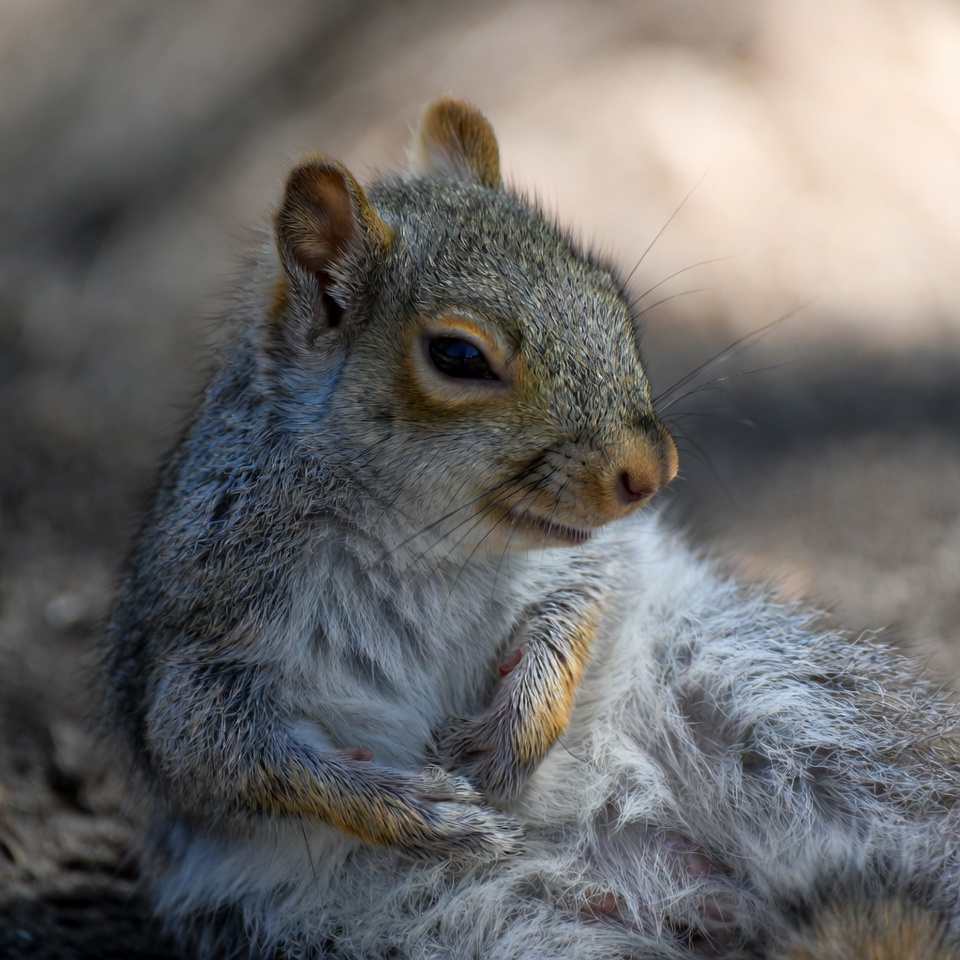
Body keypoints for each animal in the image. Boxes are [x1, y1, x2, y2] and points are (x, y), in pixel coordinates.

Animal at [101, 97, 960, 959]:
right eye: (457, 355)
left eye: (610, 295)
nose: (653, 470)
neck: (427, 541)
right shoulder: (203, 636)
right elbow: (218, 757)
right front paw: (414, 808)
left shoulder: (600, 552)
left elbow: (585, 597)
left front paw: (521, 725)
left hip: (805, 714)